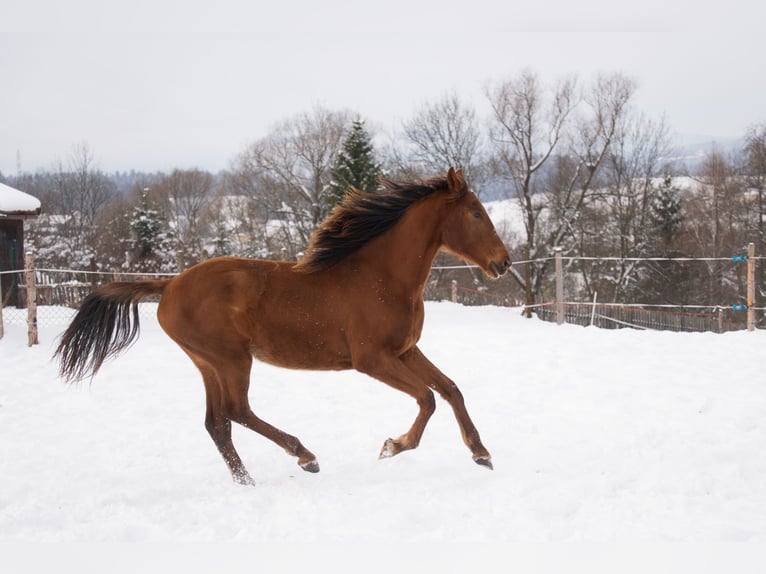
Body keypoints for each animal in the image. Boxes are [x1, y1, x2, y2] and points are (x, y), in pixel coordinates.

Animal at [55, 167, 511, 485]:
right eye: (476, 212)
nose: (503, 263)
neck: (380, 277)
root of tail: (169, 285)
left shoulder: (405, 350)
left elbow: (450, 389)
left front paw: (482, 453)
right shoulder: (372, 359)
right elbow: (427, 398)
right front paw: (392, 447)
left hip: (208, 364)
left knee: (217, 423)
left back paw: (247, 481)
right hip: (231, 359)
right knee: (236, 411)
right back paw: (305, 457)